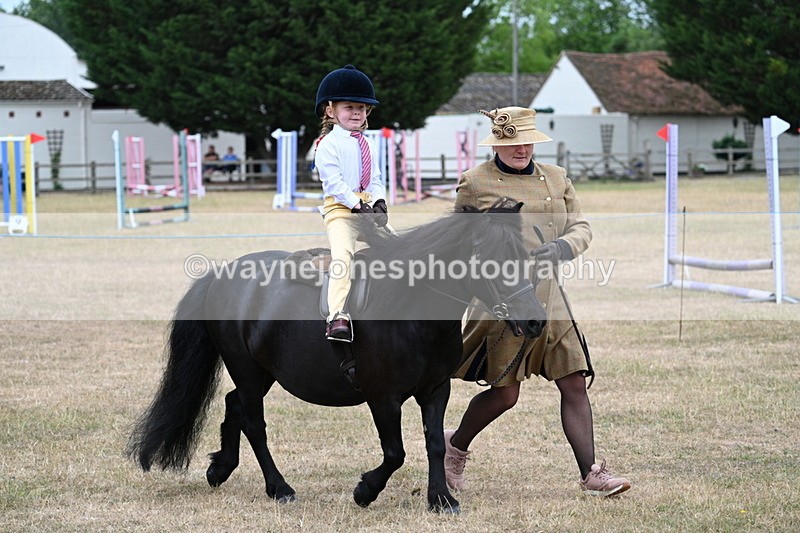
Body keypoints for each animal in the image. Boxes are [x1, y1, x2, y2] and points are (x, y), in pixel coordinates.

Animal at [126, 198, 547, 513]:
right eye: (488, 257)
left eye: (524, 255)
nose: (536, 321)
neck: (411, 310)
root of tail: (221, 274)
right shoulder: (382, 396)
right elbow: (395, 452)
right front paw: (365, 491)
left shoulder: (435, 389)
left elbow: (436, 444)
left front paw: (441, 500)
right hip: (246, 370)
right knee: (254, 424)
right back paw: (279, 488)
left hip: (261, 373)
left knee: (234, 406)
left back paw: (221, 469)